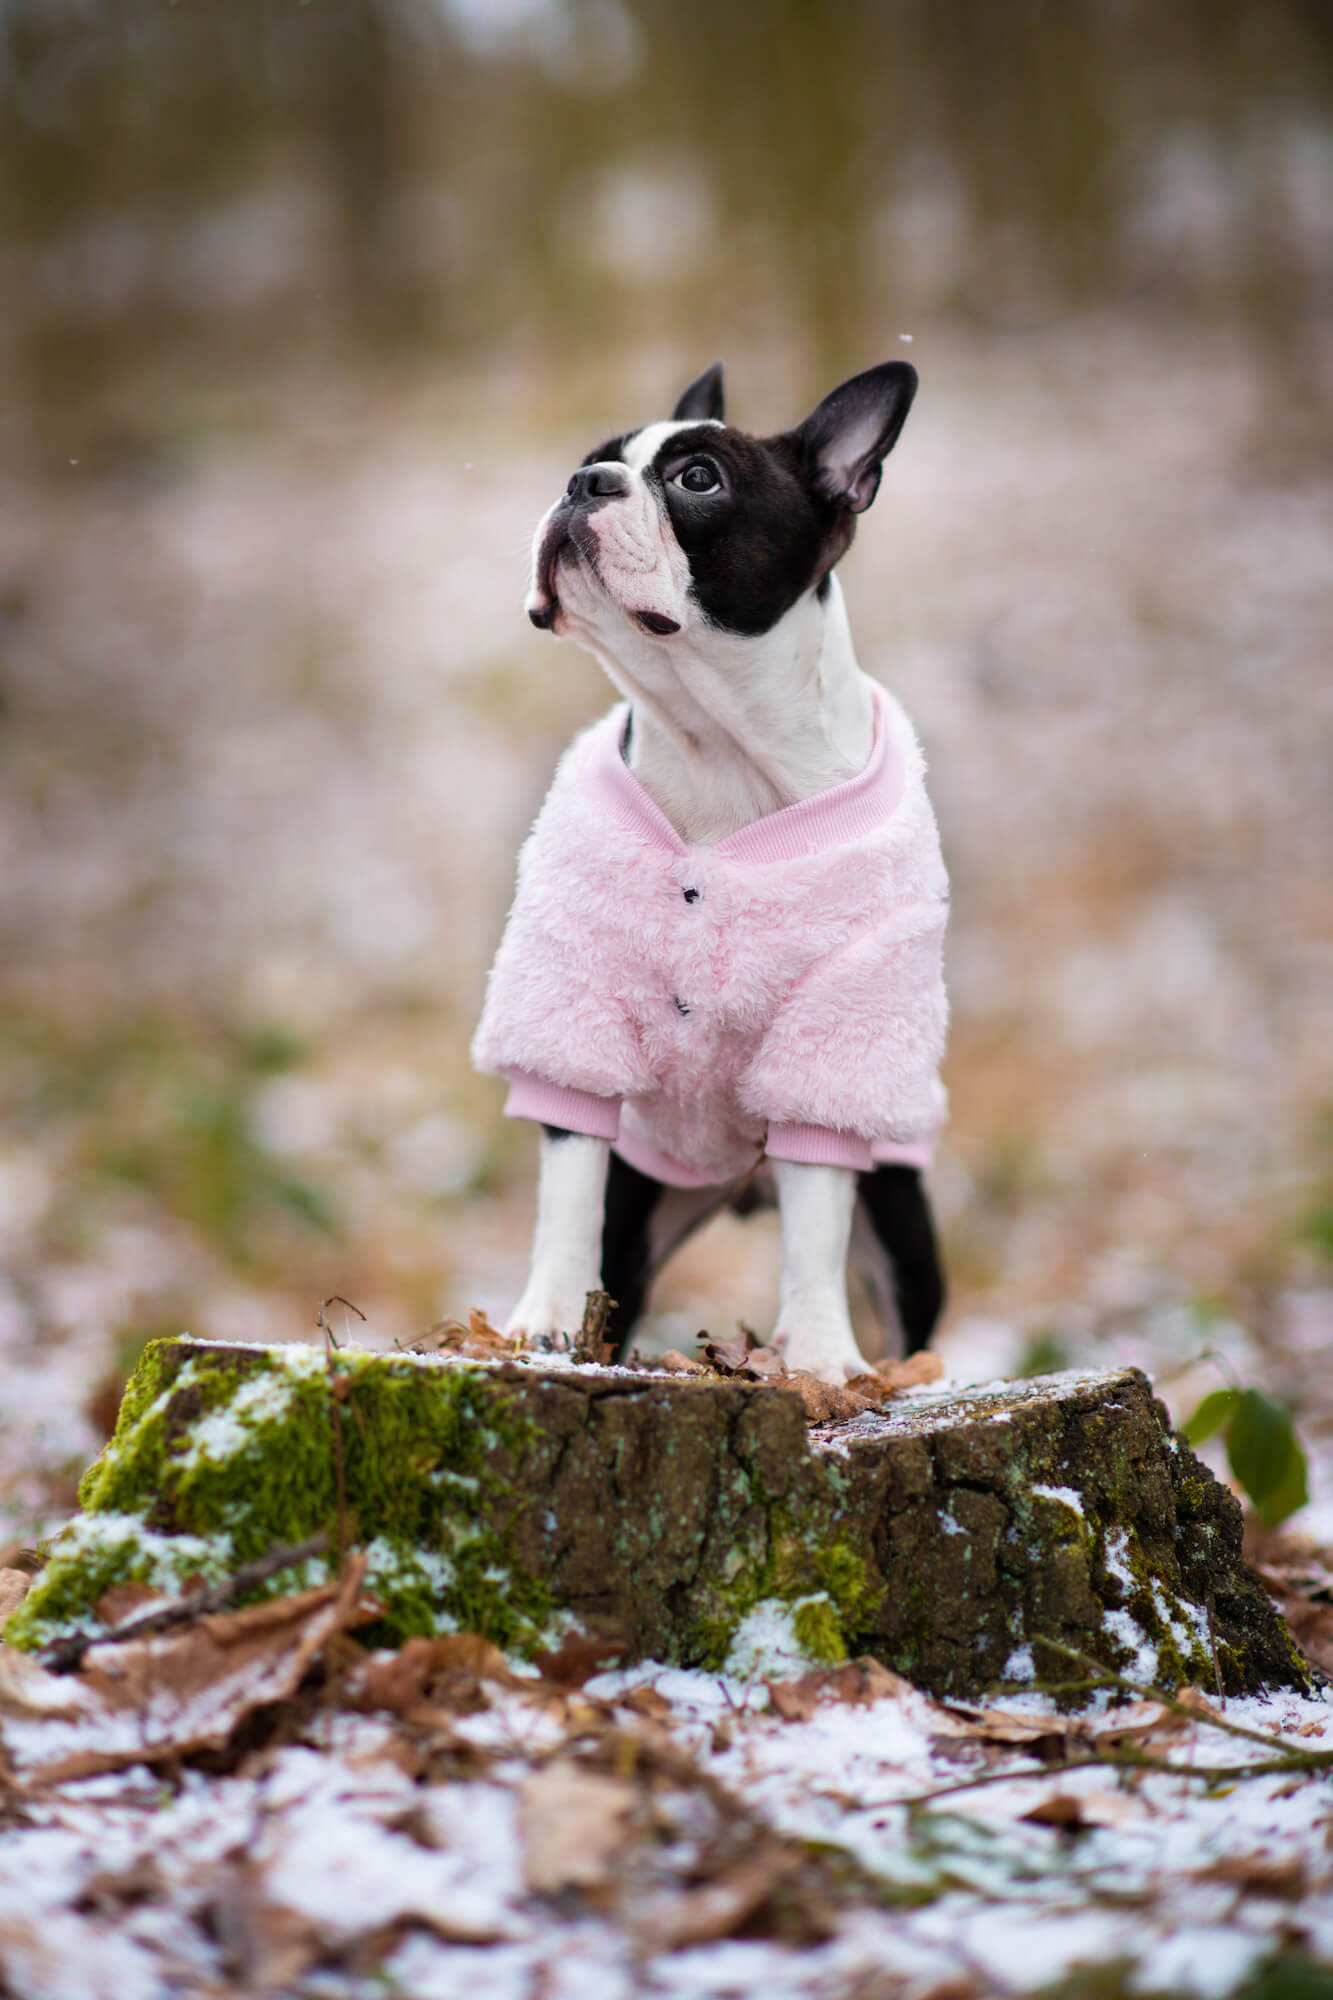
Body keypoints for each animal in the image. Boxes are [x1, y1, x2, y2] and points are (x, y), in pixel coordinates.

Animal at [474, 364, 944, 1392]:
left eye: (697, 479)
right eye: (591, 456)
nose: (584, 483)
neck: (716, 739)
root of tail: (734, 1190)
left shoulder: (834, 1035)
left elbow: (816, 1227)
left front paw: (820, 1359)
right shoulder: (571, 1000)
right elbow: (565, 1188)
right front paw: (539, 1322)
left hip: (903, 1217)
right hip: (641, 1209)